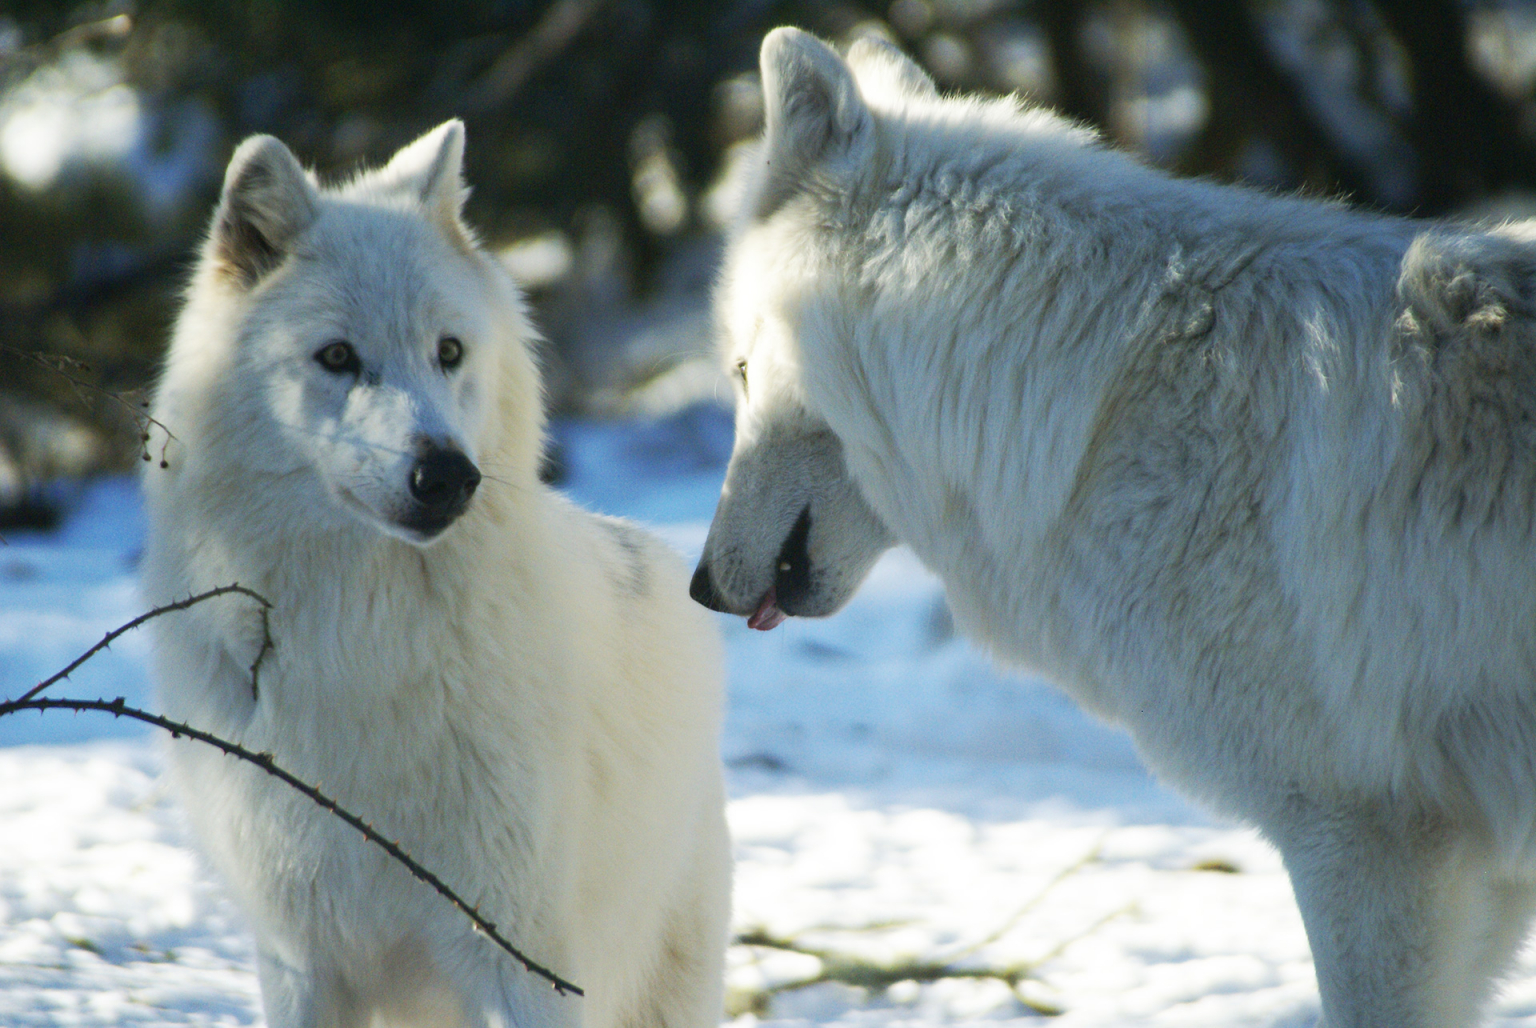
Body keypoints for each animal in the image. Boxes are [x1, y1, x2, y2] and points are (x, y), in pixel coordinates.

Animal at [141, 122, 728, 1026]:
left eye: (448, 351)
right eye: (337, 357)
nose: (448, 474)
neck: (360, 641)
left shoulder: (519, 961)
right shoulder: (300, 962)